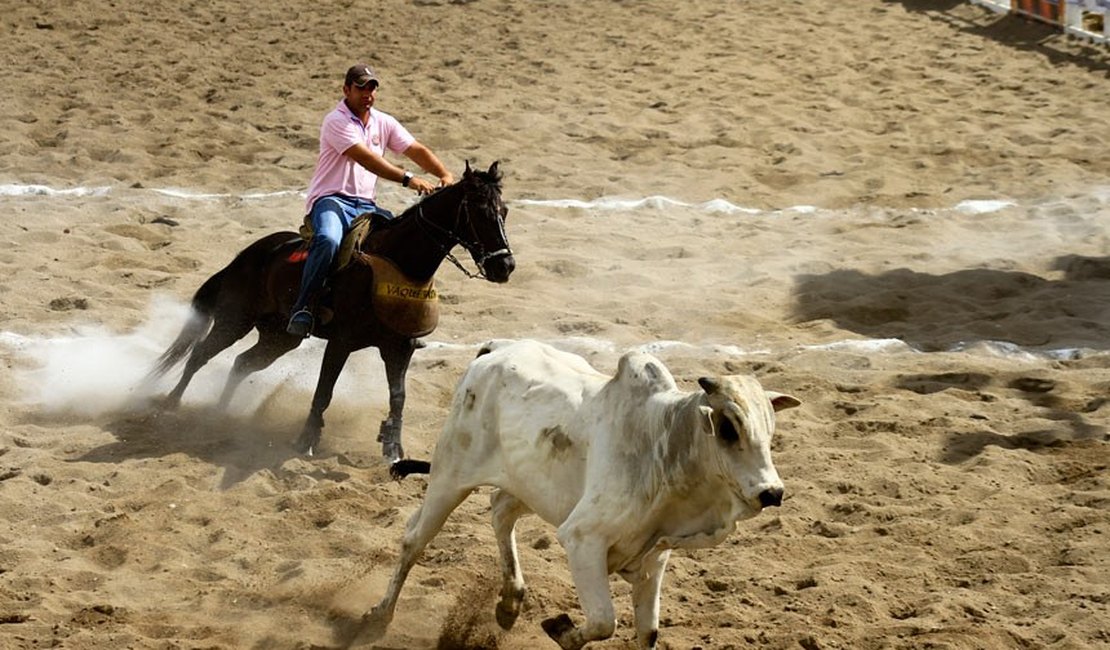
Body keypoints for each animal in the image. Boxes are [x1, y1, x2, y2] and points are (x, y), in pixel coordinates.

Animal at [145, 161, 512, 461]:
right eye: (480, 210)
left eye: (504, 211)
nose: (505, 266)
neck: (396, 261)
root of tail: (244, 257)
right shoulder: (341, 342)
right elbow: (324, 391)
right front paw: (306, 440)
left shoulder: (400, 347)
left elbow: (398, 396)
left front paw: (394, 447)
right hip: (234, 320)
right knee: (200, 354)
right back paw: (169, 406)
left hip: (279, 338)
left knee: (241, 363)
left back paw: (220, 414)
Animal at [355, 339, 799, 647]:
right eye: (728, 428)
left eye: (770, 428)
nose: (771, 492)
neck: (664, 443)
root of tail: (494, 349)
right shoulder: (582, 538)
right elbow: (603, 621)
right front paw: (560, 628)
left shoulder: (654, 557)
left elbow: (647, 634)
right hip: (450, 476)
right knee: (414, 540)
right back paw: (379, 615)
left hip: (526, 485)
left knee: (500, 513)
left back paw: (510, 601)